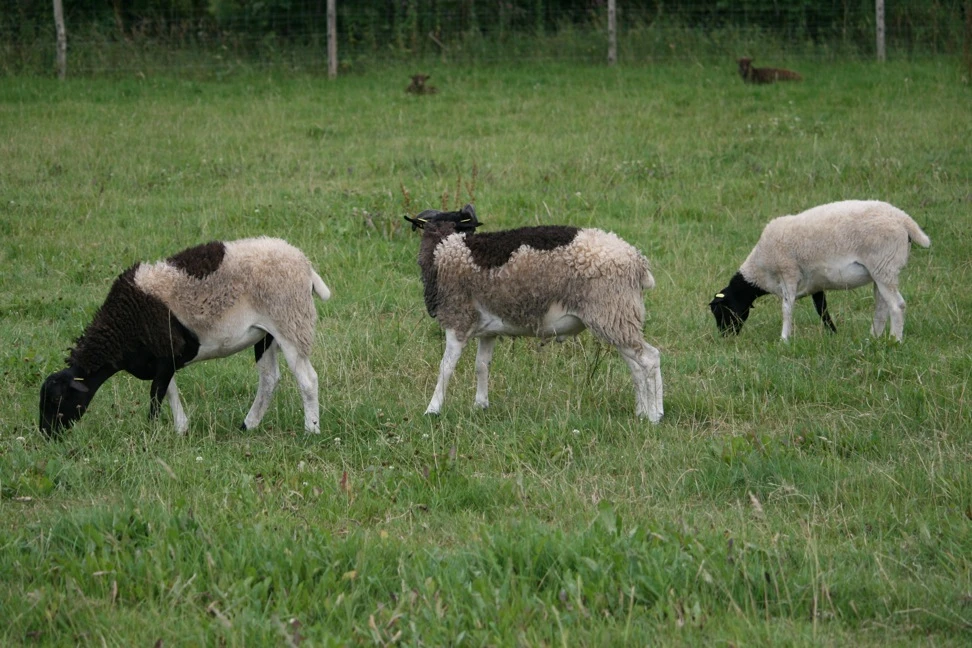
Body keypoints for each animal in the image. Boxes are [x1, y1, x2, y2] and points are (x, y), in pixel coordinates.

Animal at [39, 237, 331, 437]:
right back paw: (249, 425)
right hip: (266, 334)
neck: (120, 330)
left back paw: (311, 429)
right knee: (269, 379)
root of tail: (305, 265)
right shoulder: (164, 358)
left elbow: (156, 395)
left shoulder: (167, 352)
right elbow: (168, 391)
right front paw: (181, 429)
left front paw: (152, 432)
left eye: (56, 400)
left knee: (307, 379)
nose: (47, 436)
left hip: (291, 321)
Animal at [404, 204, 663, 422]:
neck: (445, 247)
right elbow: (482, 365)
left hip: (611, 312)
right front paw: (480, 406)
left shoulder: (458, 318)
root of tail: (638, 262)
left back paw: (654, 416)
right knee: (635, 365)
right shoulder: (488, 330)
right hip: (619, 317)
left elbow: (446, 367)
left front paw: (432, 410)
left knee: (650, 359)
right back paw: (642, 412)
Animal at [709, 200, 930, 341]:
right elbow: (822, 310)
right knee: (881, 307)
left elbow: (787, 309)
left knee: (897, 305)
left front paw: (784, 339)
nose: (725, 337)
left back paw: (894, 340)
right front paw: (833, 333)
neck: (760, 270)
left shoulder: (788, 272)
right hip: (881, 270)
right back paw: (873, 338)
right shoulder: (815, 283)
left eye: (721, 310)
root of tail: (904, 220)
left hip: (884, 266)